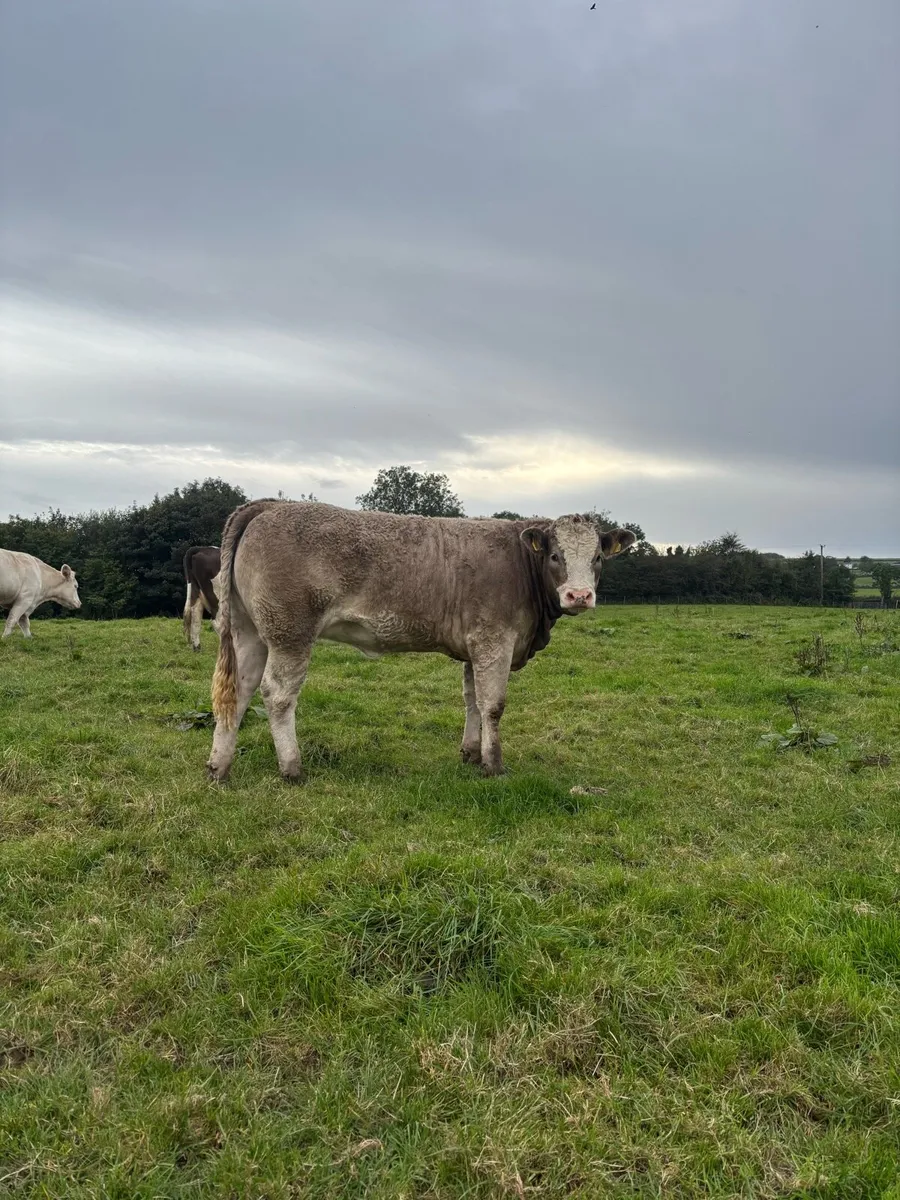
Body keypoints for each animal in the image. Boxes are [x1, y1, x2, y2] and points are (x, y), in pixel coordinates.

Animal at [206, 500, 636, 783]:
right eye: (555, 555)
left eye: (598, 557)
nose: (579, 595)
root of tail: (269, 505)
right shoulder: (494, 640)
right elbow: (493, 705)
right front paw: (493, 765)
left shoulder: (475, 646)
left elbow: (472, 700)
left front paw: (470, 753)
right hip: (290, 632)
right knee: (278, 695)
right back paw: (292, 768)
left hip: (249, 631)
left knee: (238, 691)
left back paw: (219, 767)